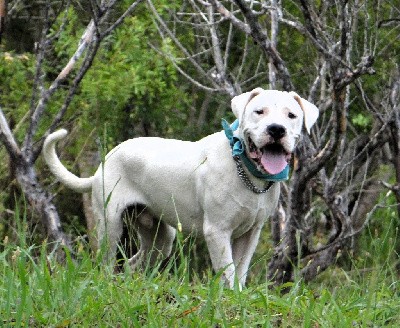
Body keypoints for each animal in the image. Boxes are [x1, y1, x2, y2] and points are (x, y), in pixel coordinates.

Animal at [43, 88, 318, 288]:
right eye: (259, 111)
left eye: (291, 115)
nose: (276, 130)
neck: (246, 171)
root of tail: (106, 160)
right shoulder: (217, 232)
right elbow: (228, 272)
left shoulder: (251, 233)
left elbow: (240, 271)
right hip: (110, 226)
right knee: (107, 261)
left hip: (160, 237)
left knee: (134, 262)